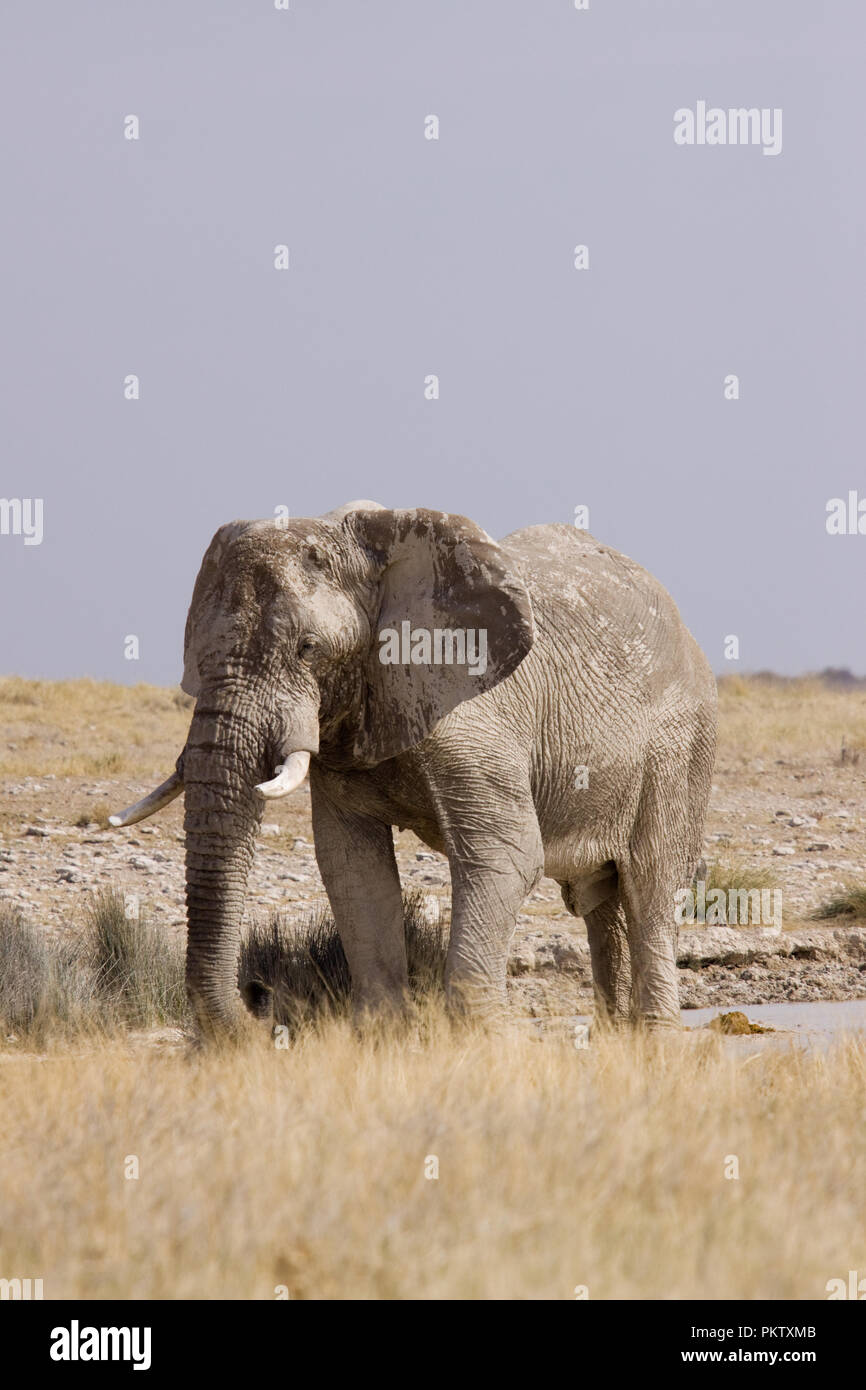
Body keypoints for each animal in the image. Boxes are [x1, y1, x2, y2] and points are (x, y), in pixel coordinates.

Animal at [108, 500, 717, 1034]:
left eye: (308, 648)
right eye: (199, 657)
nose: (256, 1013)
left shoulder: (475, 718)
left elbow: (507, 856)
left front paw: (485, 1043)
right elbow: (351, 866)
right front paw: (381, 1038)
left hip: (681, 749)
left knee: (650, 886)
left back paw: (654, 1040)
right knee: (602, 902)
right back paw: (618, 1037)